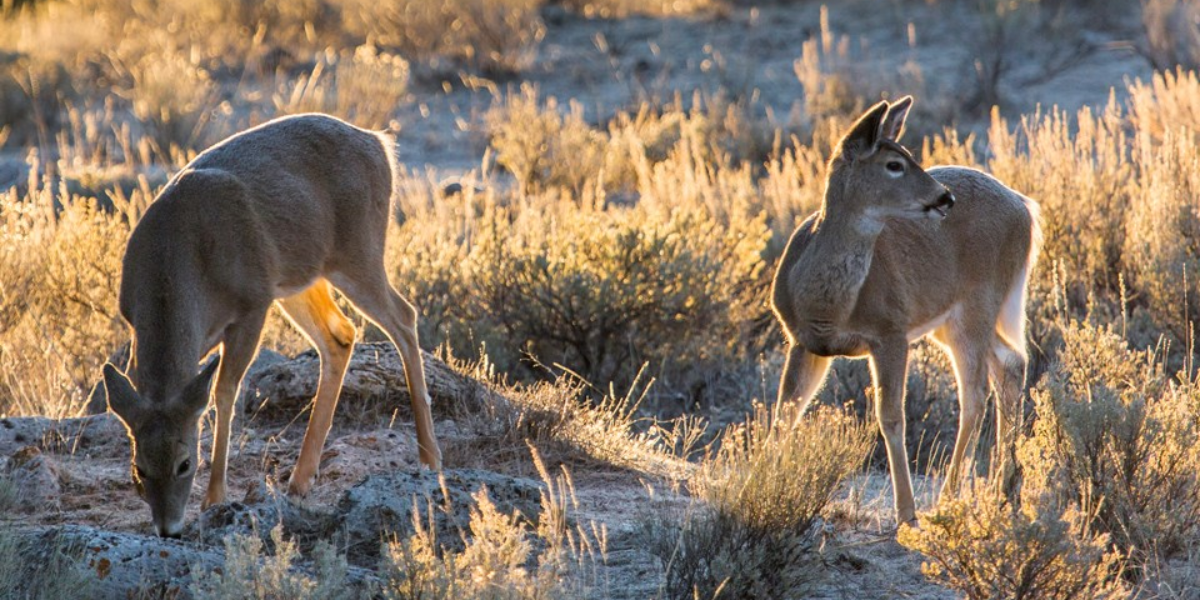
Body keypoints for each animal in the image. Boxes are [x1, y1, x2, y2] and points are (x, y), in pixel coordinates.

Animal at [102, 113, 441, 540]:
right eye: (140, 469)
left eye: (185, 462)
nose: (168, 530)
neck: (179, 261)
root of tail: (379, 143)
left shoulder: (252, 305)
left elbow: (225, 391)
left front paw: (214, 496)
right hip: (301, 278)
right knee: (341, 335)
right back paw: (300, 478)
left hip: (358, 253)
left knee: (403, 318)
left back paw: (430, 457)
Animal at [768, 97, 1041, 525]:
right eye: (894, 164)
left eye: (910, 155)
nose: (944, 198)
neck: (827, 304)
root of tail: (1026, 208)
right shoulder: (803, 341)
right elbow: (787, 412)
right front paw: (755, 480)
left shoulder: (891, 332)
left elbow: (891, 417)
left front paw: (907, 512)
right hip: (952, 319)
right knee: (1011, 362)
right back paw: (1006, 488)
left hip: (978, 302)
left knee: (976, 394)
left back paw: (950, 497)